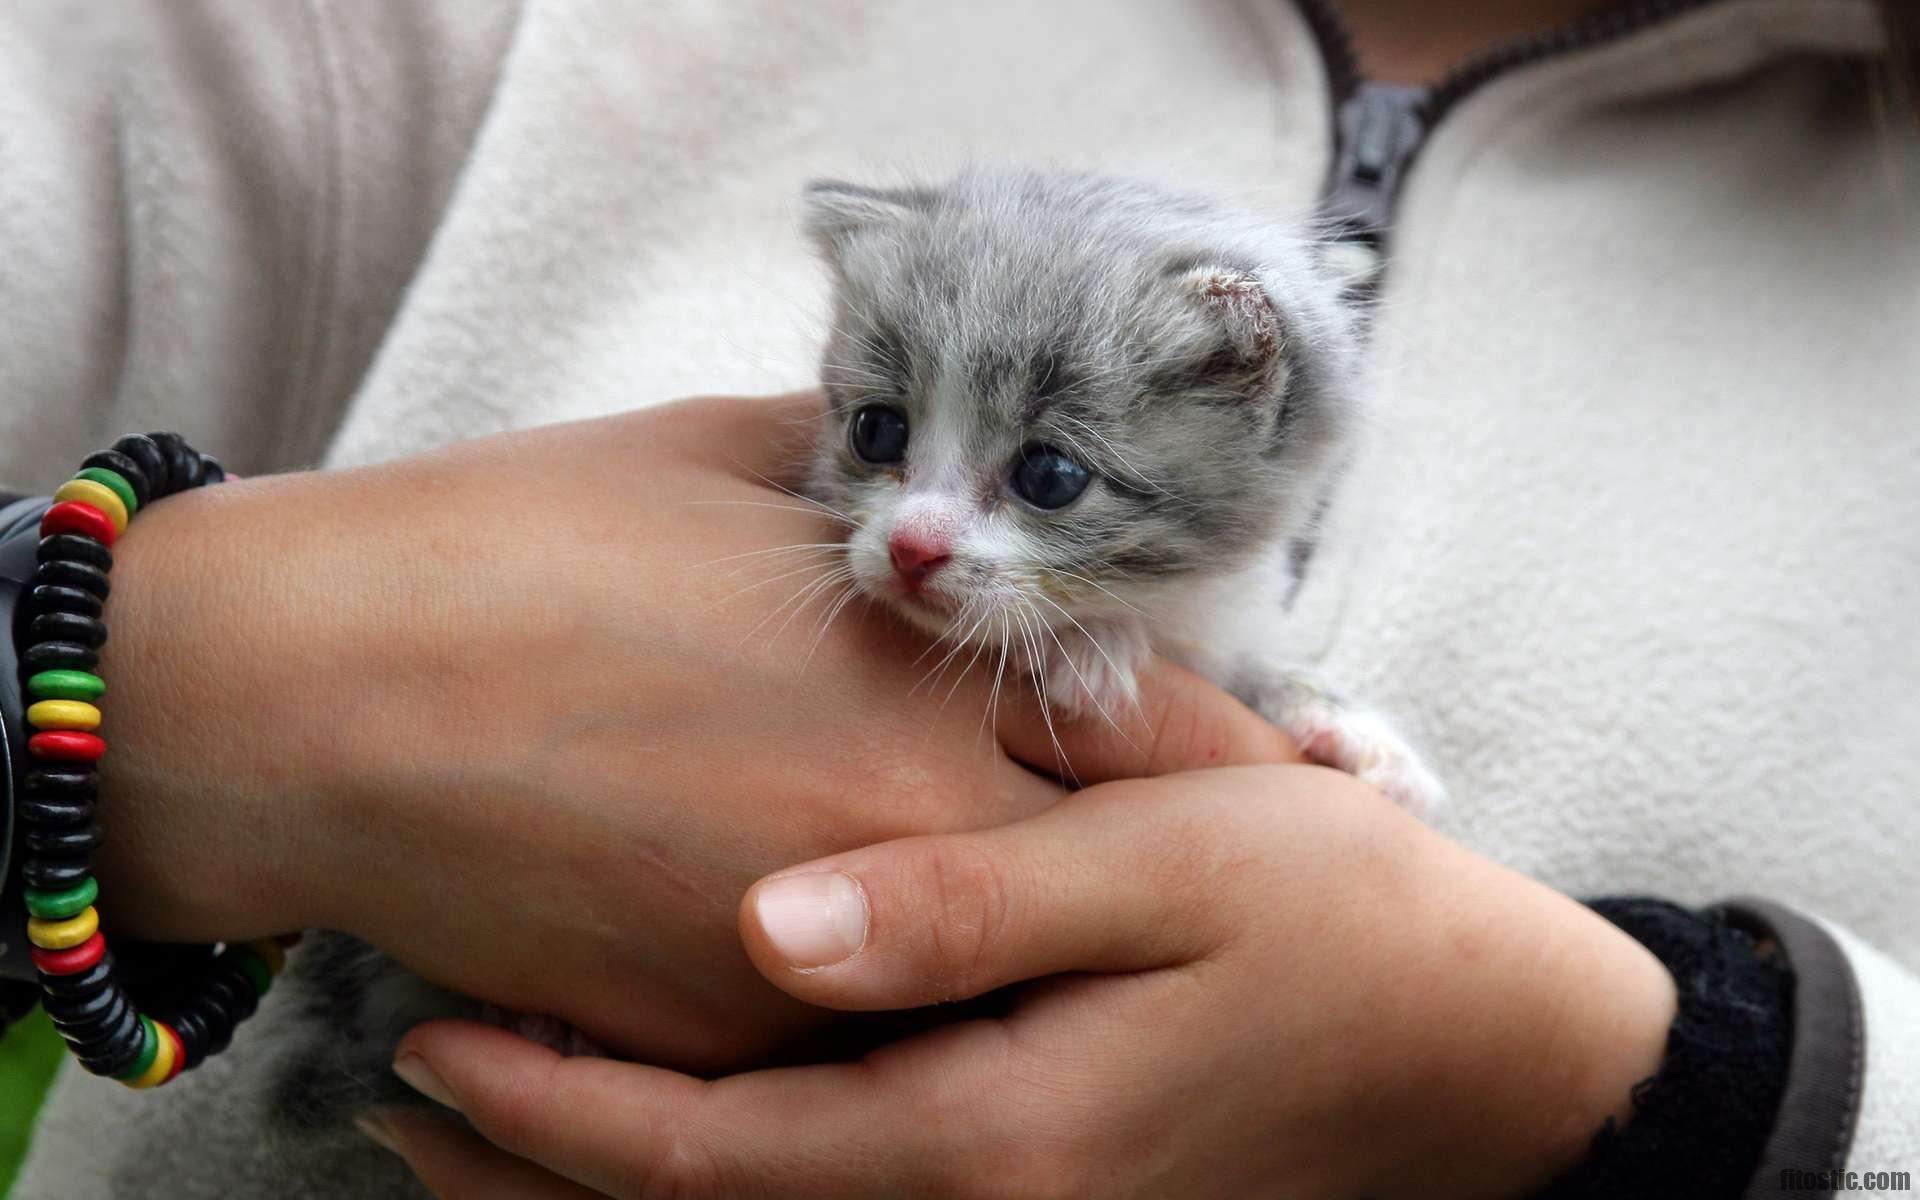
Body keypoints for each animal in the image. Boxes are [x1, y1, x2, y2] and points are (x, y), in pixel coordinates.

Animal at [794, 168, 1443, 817]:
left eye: (1049, 477)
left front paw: (1355, 729)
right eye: (877, 431)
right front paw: (1091, 643)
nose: (912, 549)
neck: (1171, 605)